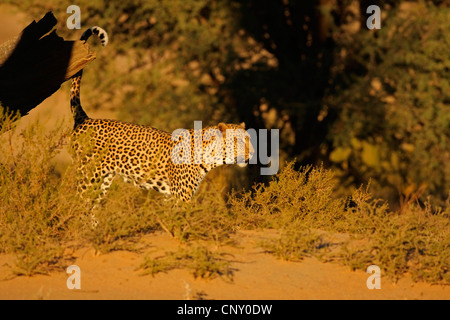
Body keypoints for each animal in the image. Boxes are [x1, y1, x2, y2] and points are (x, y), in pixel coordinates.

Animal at [69, 26, 255, 202]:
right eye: (239, 141)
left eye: (249, 139)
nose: (252, 153)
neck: (210, 156)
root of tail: (85, 118)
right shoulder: (180, 196)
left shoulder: (170, 196)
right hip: (87, 177)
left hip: (102, 181)